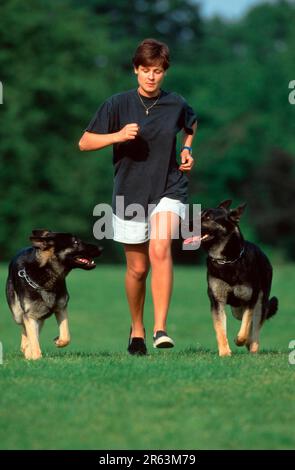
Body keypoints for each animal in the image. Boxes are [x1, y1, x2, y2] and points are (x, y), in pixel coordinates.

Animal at [6, 230, 103, 360]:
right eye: (75, 242)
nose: (101, 248)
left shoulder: (61, 308)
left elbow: (66, 336)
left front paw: (59, 341)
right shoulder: (30, 315)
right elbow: (33, 340)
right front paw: (35, 357)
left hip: (40, 317)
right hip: (18, 314)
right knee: (25, 329)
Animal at [185, 200, 280, 358]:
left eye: (208, 217)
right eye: (199, 214)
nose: (184, 223)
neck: (227, 260)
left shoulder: (250, 300)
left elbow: (245, 327)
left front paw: (240, 340)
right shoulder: (217, 302)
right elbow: (220, 330)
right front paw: (224, 352)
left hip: (261, 302)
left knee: (255, 326)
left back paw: (253, 347)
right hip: (236, 310)